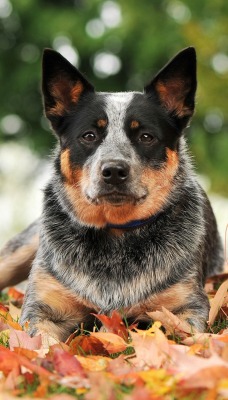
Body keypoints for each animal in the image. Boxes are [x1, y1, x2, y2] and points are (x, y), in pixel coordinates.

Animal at [0, 47, 224, 340]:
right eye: (89, 135)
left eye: (146, 136)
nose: (114, 170)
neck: (116, 235)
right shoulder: (44, 309)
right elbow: (42, 342)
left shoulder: (185, 307)